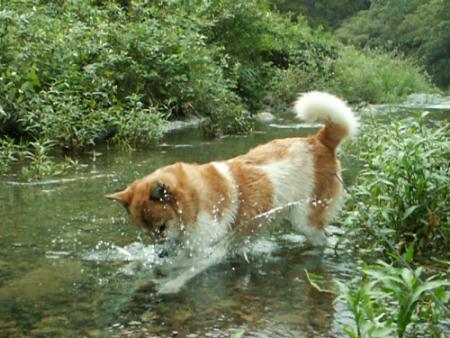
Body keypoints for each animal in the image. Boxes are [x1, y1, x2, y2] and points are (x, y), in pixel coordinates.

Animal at [106, 91, 358, 294]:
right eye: (147, 233)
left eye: (161, 227)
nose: (160, 255)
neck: (195, 202)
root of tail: (317, 141)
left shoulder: (212, 251)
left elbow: (187, 271)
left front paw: (170, 285)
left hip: (304, 218)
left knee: (322, 240)